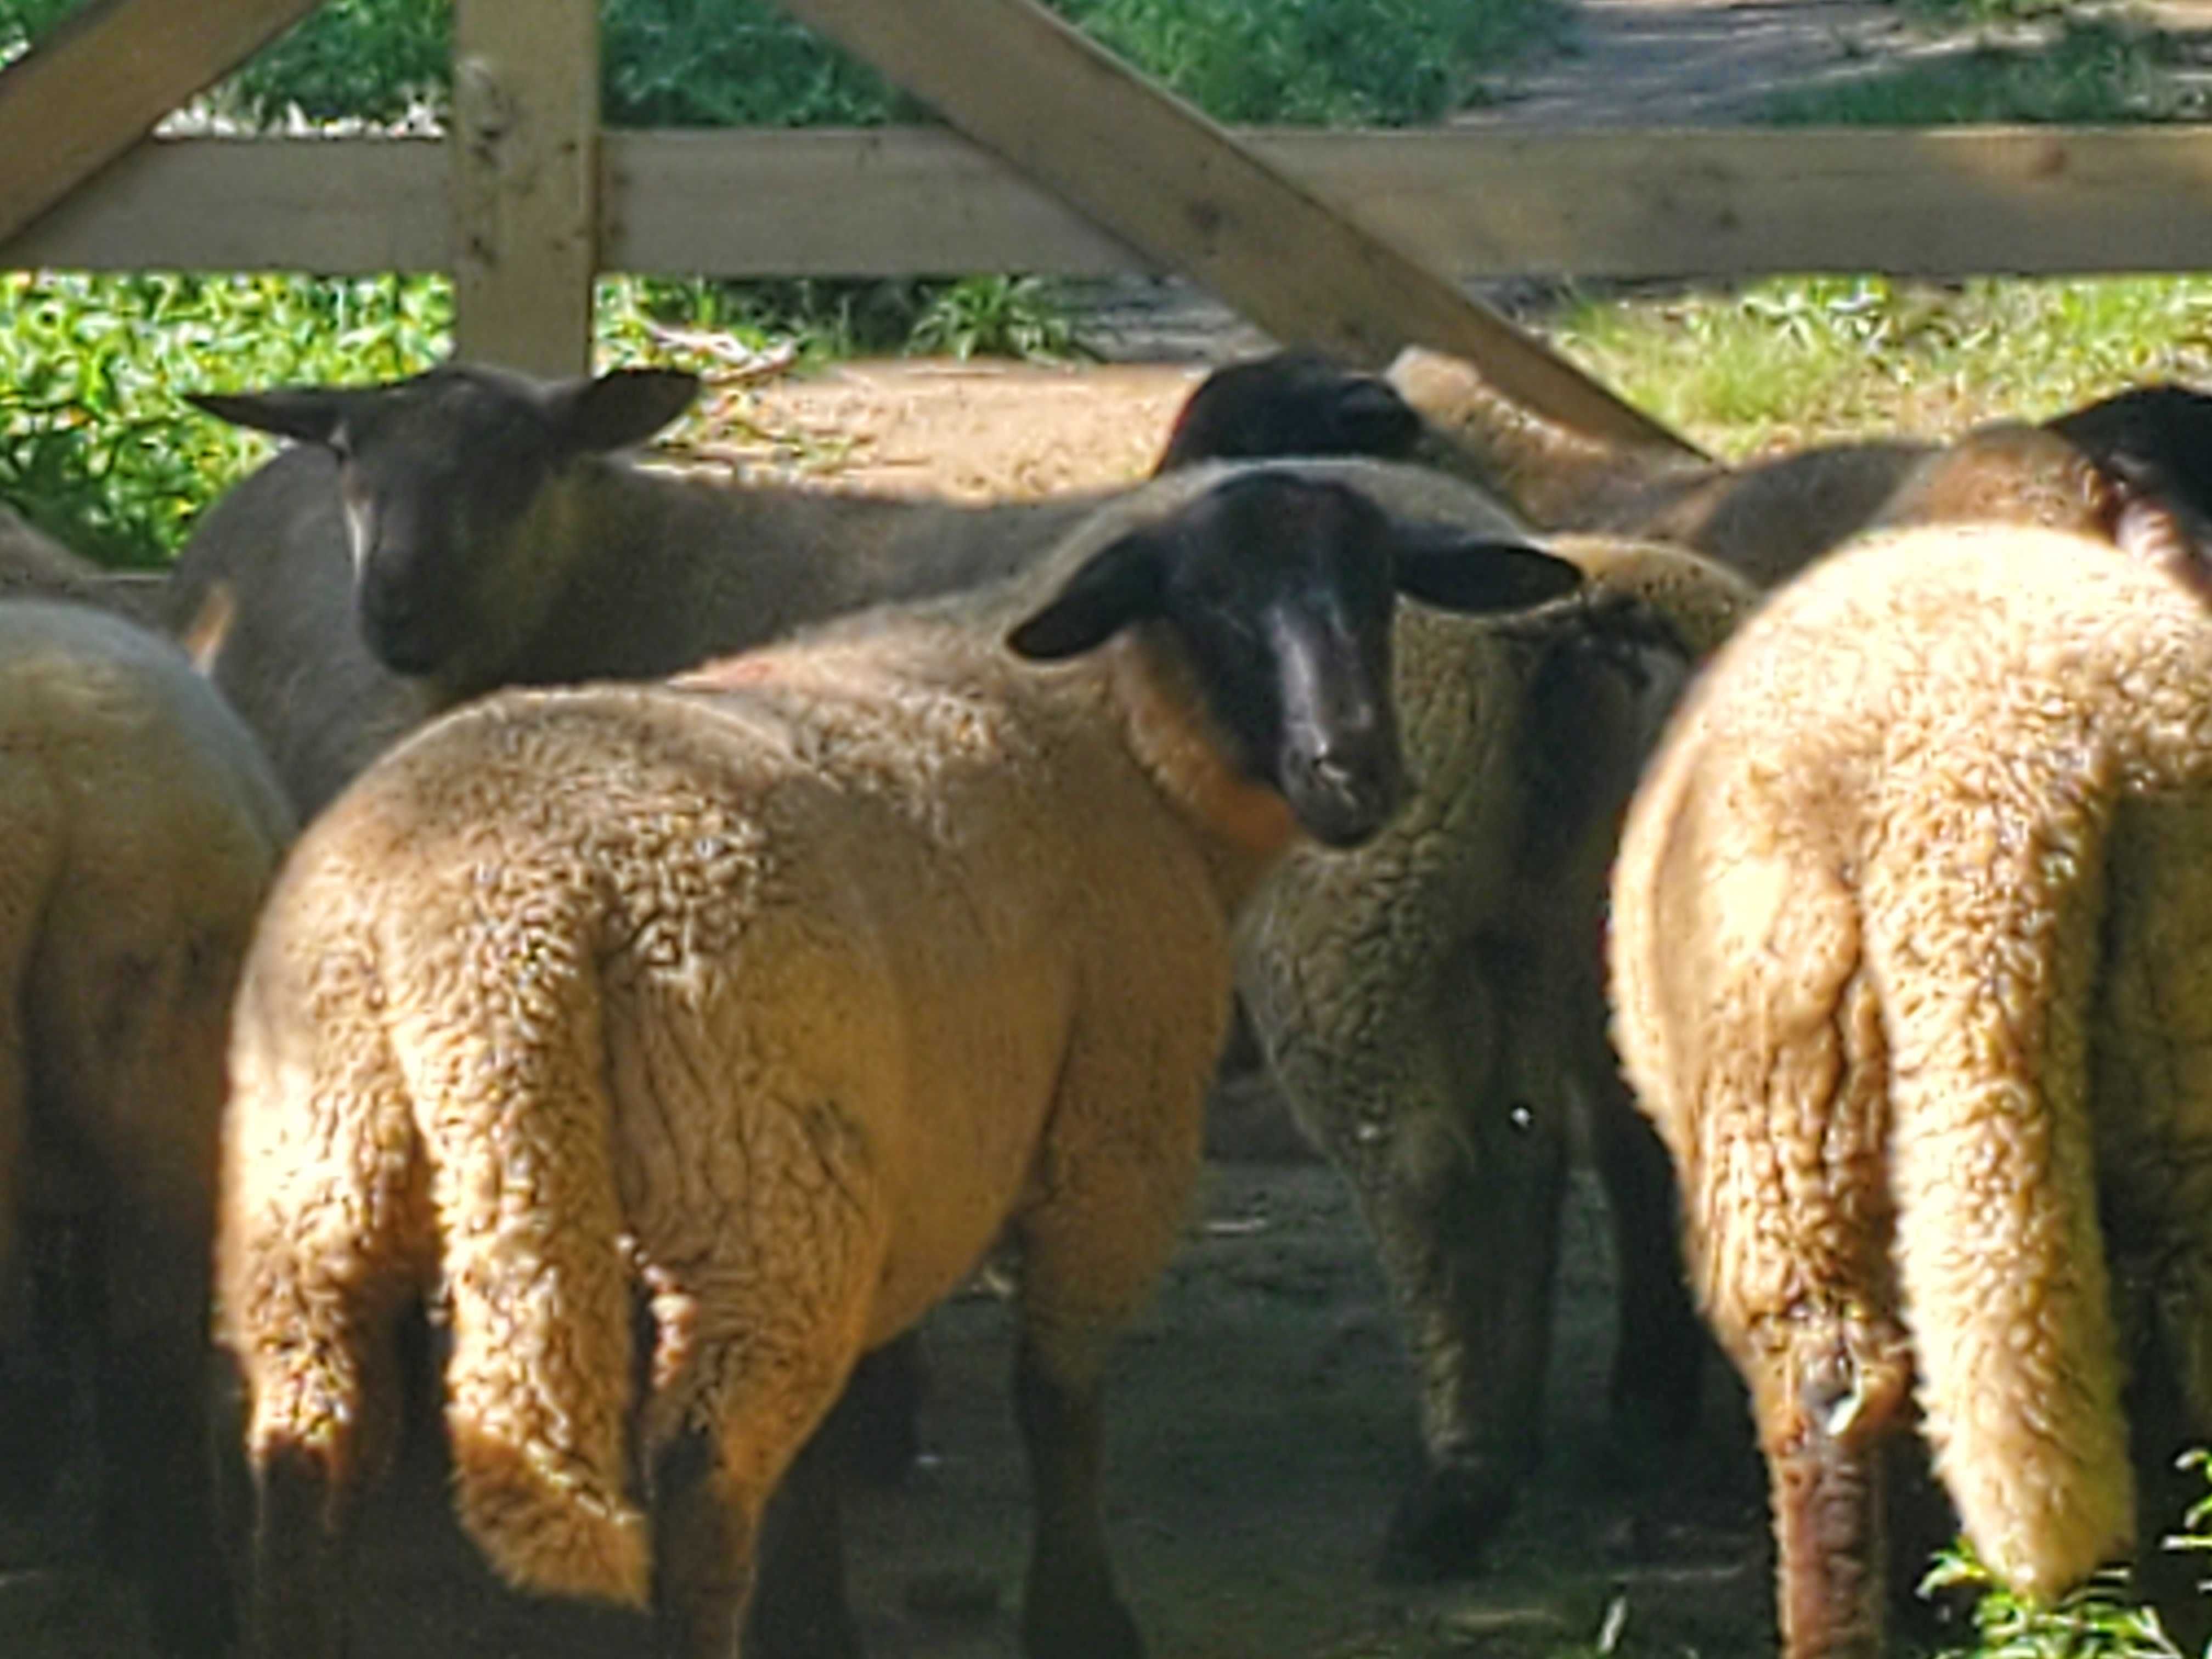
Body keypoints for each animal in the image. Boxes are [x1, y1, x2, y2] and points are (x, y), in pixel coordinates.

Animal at [211, 464, 1593, 1659]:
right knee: (703, 1480)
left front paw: (821, 1616)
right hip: (754, 1181)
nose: (1358, 773)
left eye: (1380, 588)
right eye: (1211, 600)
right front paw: (1080, 1623)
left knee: (309, 1446)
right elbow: (1059, 1398)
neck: (1112, 727)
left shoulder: (897, 1162)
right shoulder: (1110, 1133)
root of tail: (485, 930)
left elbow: (839, 1437)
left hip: (323, 1173)